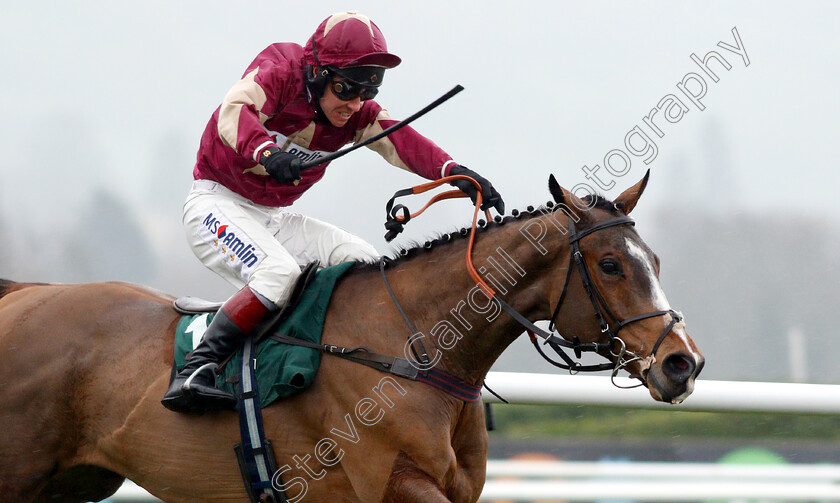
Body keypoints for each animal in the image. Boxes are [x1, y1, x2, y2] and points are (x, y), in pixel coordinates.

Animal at [0, 171, 704, 502]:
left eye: (655, 261)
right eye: (610, 265)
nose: (683, 364)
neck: (411, 352)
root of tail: (23, 293)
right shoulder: (391, 485)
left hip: (74, 481)